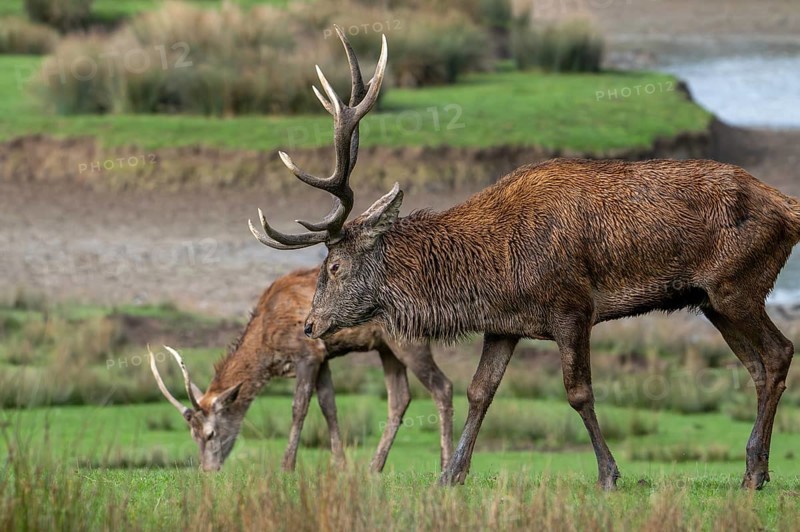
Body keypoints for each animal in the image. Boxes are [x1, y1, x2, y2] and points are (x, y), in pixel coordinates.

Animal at [148, 266, 453, 473]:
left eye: (210, 433)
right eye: (192, 435)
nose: (208, 470)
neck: (267, 339)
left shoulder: (307, 353)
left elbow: (299, 407)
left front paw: (287, 465)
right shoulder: (324, 358)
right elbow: (329, 406)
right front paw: (340, 465)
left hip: (408, 340)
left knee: (443, 386)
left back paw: (447, 465)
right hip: (386, 347)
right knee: (400, 397)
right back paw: (373, 467)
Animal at [249, 26, 800, 490]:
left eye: (334, 267)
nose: (310, 325)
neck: (491, 270)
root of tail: (788, 207)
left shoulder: (573, 307)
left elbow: (578, 392)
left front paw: (609, 474)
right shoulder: (505, 324)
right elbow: (479, 391)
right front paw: (451, 475)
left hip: (737, 285)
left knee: (779, 353)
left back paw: (754, 471)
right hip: (710, 299)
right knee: (757, 365)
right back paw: (755, 470)